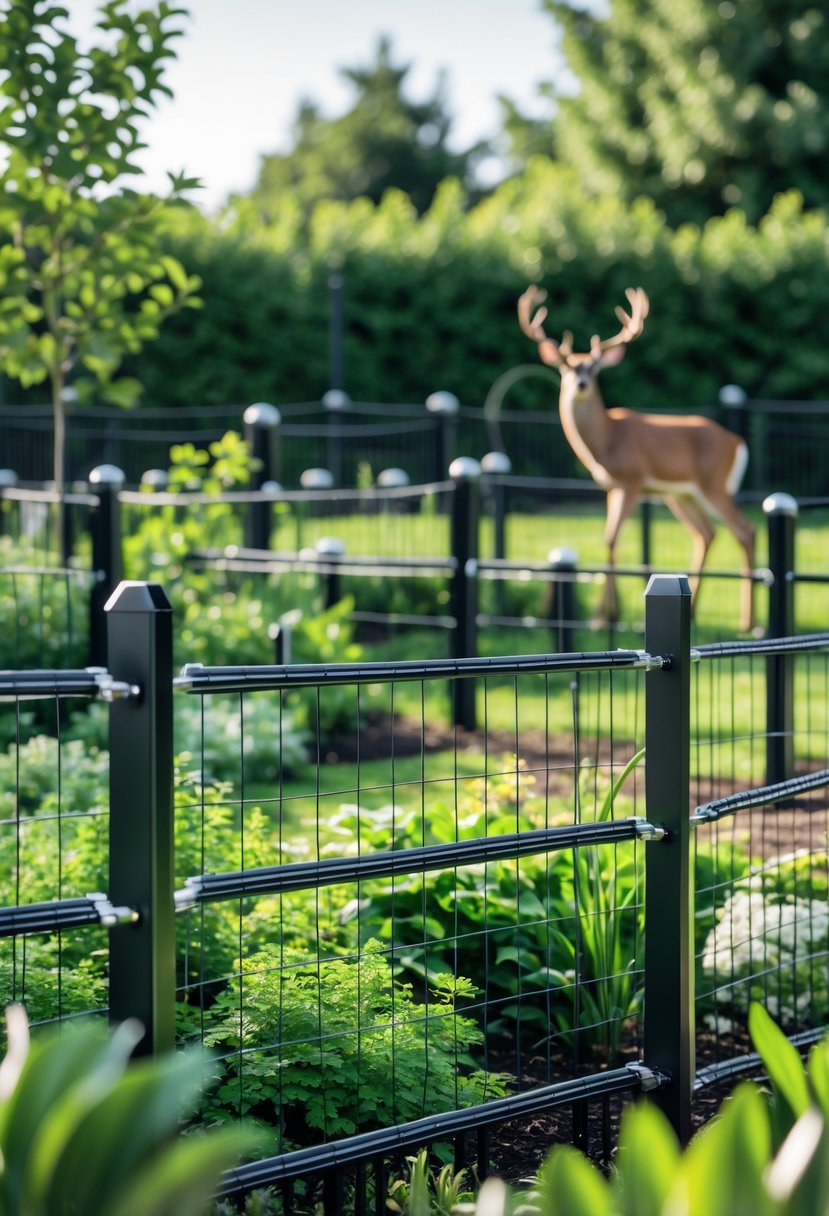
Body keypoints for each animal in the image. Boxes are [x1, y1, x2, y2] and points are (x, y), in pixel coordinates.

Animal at [517, 284, 756, 633]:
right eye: (566, 366)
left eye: (595, 367)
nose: (581, 384)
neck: (606, 440)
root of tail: (736, 440)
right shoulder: (611, 487)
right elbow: (608, 540)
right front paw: (601, 616)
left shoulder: (631, 481)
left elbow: (613, 538)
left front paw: (607, 617)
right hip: (681, 494)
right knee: (707, 533)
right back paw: (696, 609)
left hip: (714, 484)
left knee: (745, 530)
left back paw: (748, 622)